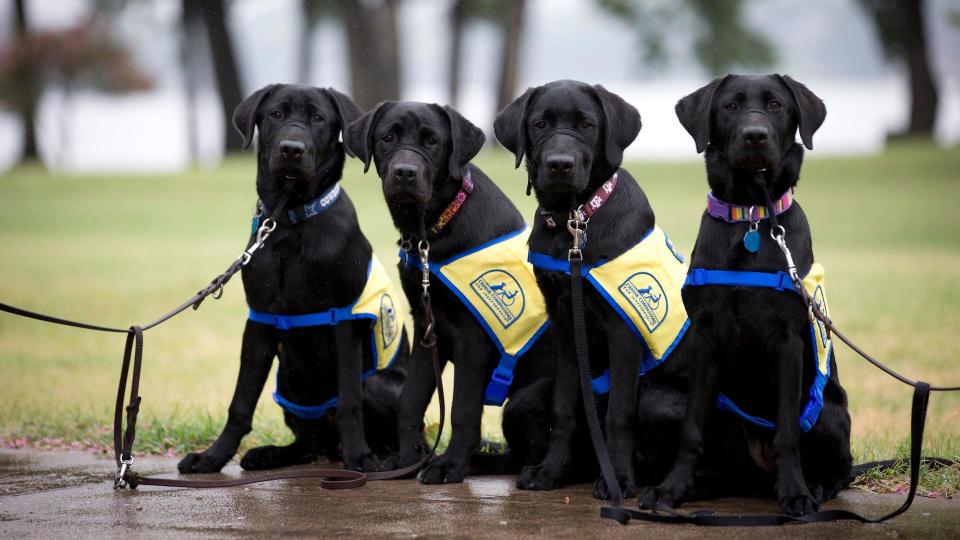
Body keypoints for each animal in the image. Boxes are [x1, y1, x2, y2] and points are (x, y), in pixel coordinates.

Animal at [178, 83, 406, 472]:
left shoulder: (343, 320)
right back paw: (270, 454)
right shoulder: (259, 322)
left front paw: (360, 457)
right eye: (275, 114)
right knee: (309, 443)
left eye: (318, 118)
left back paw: (383, 458)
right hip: (287, 382)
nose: (291, 149)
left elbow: (349, 401)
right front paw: (213, 457)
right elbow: (241, 402)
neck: (289, 221)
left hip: (376, 383)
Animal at [344, 102, 556, 486]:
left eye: (432, 141)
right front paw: (407, 459)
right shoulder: (428, 327)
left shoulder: (472, 336)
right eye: (387, 137)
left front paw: (450, 466)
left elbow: (462, 409)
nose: (405, 173)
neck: (431, 233)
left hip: (525, 399)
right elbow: (411, 401)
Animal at [496, 80, 696, 498]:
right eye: (539, 124)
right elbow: (565, 410)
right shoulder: (567, 329)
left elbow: (618, 414)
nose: (559, 164)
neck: (575, 219)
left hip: (659, 398)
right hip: (523, 400)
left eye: (586, 124)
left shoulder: (624, 331)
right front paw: (550, 471)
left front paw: (617, 479)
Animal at [640, 75, 852, 516]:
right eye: (731, 107)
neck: (751, 218)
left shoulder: (788, 343)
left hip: (827, 410)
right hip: (666, 405)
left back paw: (814, 487)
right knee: (722, 470)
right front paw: (671, 489)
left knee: (841, 469)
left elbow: (787, 432)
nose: (755, 136)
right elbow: (691, 433)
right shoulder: (705, 338)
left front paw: (796, 493)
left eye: (775, 106)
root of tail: (757, 479)